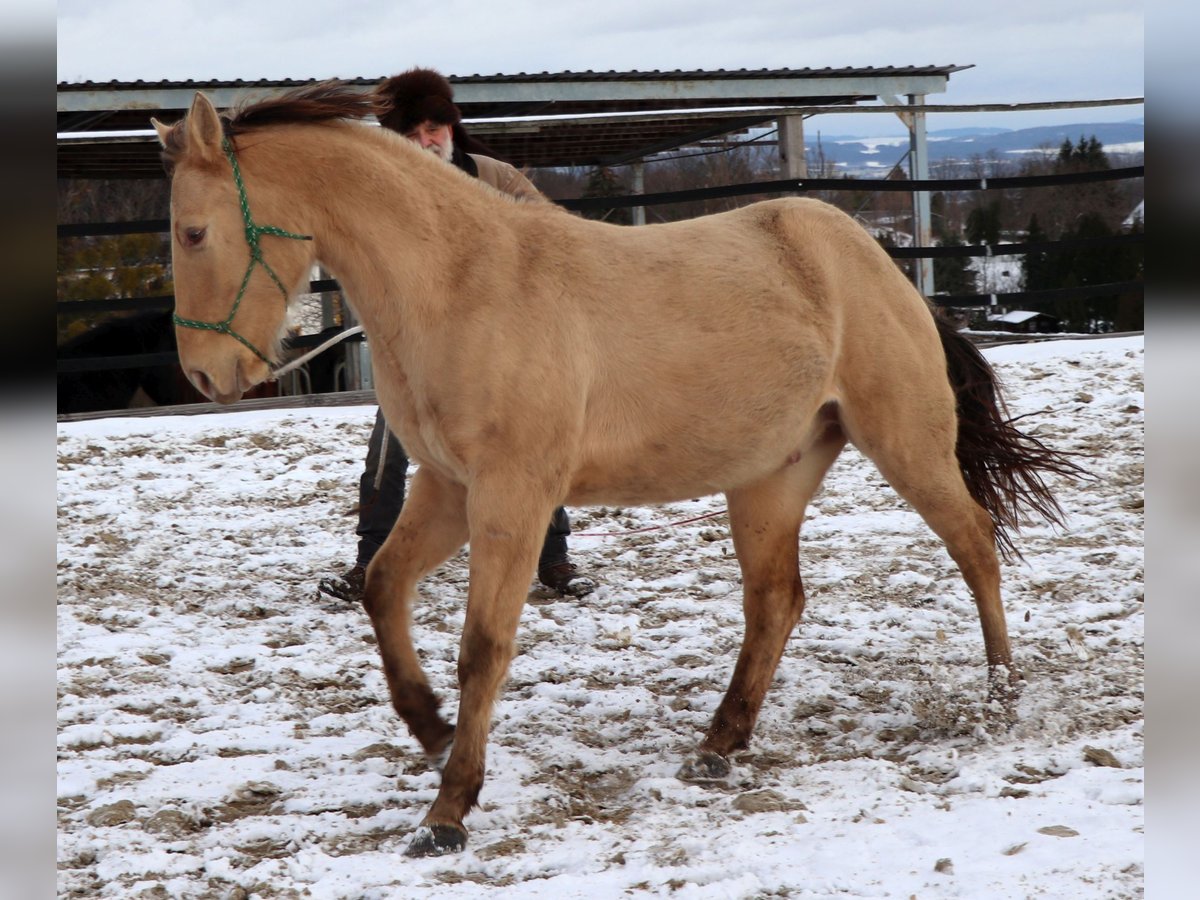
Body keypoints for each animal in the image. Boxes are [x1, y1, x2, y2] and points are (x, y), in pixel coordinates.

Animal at [154, 82, 1084, 859]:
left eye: (193, 231)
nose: (203, 375)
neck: (458, 283)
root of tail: (878, 264)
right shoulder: (449, 490)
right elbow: (382, 588)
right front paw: (429, 726)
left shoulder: (513, 496)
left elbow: (483, 645)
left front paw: (449, 811)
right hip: (769, 478)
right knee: (776, 601)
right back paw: (719, 746)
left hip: (905, 445)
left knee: (974, 544)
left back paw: (1000, 699)